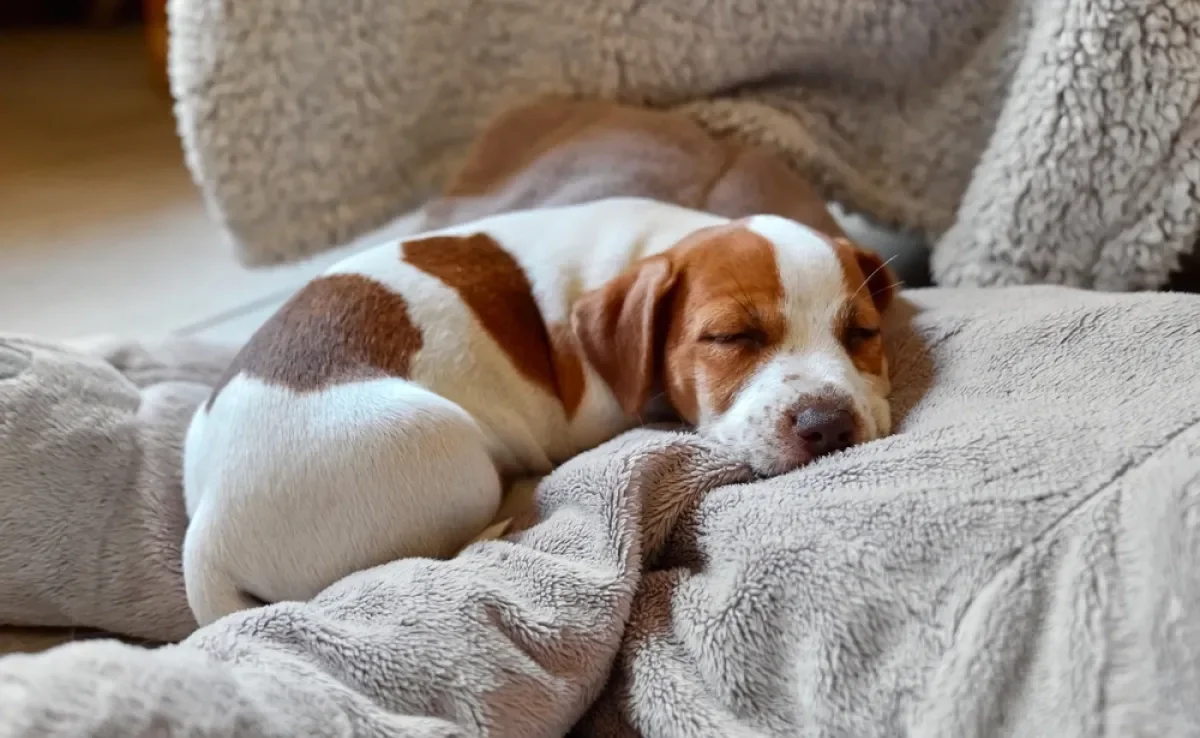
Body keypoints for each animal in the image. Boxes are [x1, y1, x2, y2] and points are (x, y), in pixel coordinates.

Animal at [175, 102, 892, 628]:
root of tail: (205, 533)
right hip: (447, 449)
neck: (657, 246)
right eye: (731, 336)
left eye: (862, 333)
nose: (828, 424)